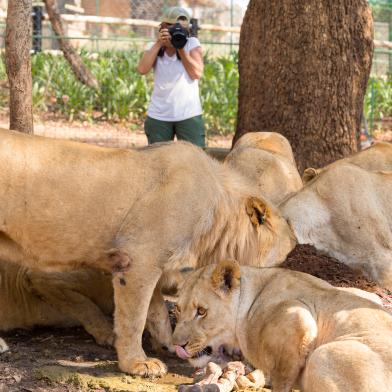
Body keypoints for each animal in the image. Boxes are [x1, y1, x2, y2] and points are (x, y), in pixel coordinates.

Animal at [0, 129, 294, 376]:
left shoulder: (156, 265)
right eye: (282, 258)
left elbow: (157, 312)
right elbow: (134, 318)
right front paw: (136, 364)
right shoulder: (139, 261)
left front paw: (169, 344)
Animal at [172, 260, 392, 392]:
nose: (177, 345)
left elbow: (282, 381)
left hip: (322, 355)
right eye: (178, 309)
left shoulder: (297, 315)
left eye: (201, 311)